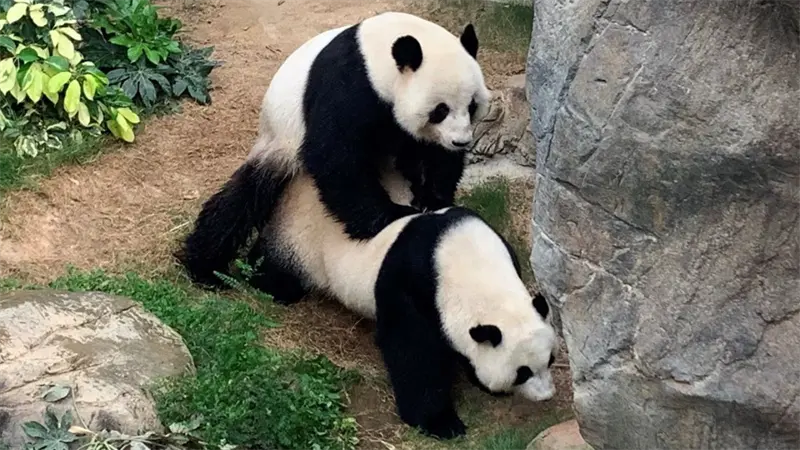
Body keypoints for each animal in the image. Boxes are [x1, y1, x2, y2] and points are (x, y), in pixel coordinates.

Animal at [177, 11, 491, 286]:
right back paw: (205, 268)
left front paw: (432, 198)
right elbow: (335, 156)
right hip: (279, 141)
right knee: (242, 200)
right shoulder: (349, 85)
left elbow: (432, 155)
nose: (461, 141)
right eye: (440, 110)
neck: (378, 56)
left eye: (472, 105)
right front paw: (389, 215)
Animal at [244, 164, 558, 440]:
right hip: (300, 240)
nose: (547, 396)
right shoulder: (411, 283)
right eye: (522, 373)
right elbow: (412, 351)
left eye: (551, 360)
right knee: (276, 270)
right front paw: (441, 423)